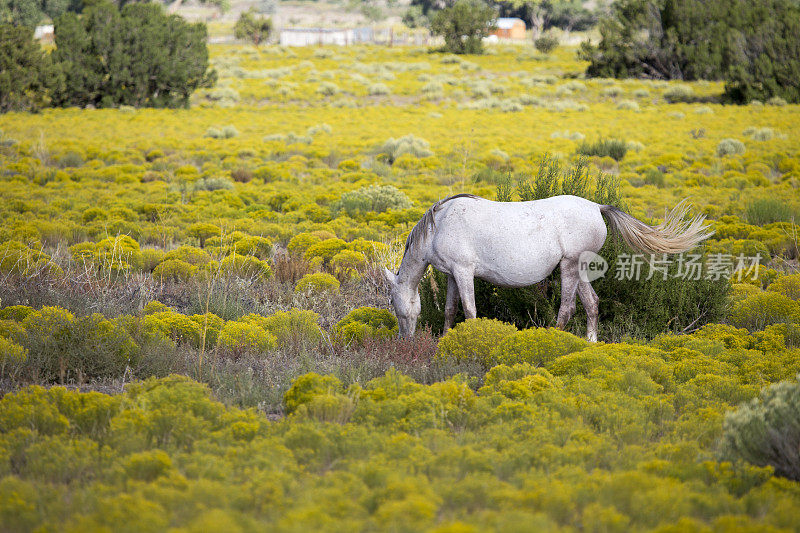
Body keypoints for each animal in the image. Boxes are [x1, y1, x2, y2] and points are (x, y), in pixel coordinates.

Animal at [382, 194, 712, 340]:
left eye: (397, 308)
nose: (404, 342)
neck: (439, 225)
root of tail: (596, 207)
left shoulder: (464, 272)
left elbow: (471, 312)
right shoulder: (452, 274)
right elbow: (451, 310)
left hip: (569, 266)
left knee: (567, 309)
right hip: (580, 270)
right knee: (592, 304)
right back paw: (590, 343)